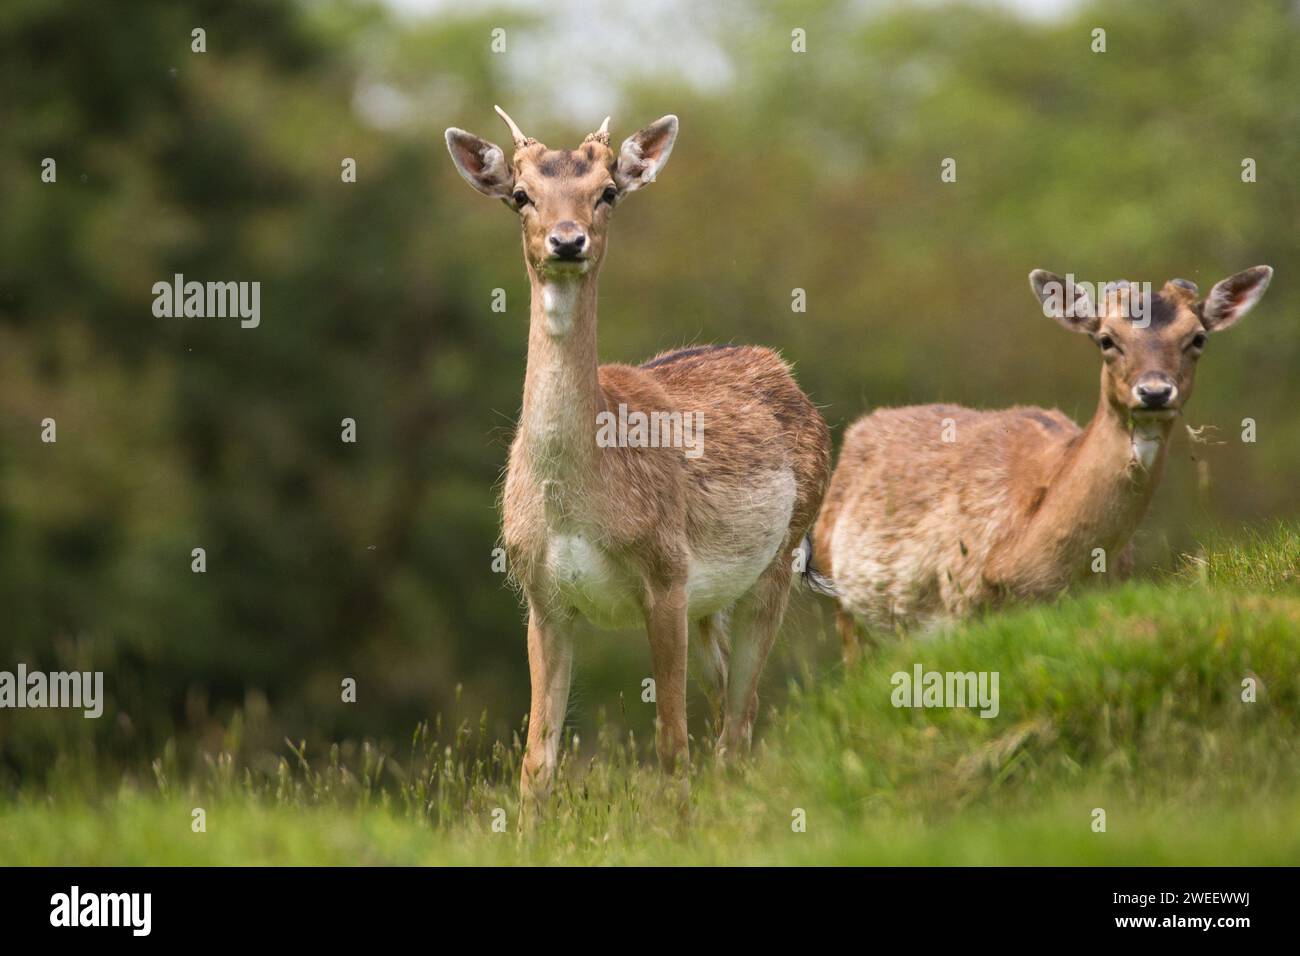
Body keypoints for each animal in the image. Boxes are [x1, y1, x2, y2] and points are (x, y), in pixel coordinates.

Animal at [444, 108, 832, 806]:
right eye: (521, 195)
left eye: (607, 192)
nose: (567, 241)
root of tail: (791, 380)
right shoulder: (542, 595)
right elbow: (536, 764)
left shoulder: (667, 574)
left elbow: (672, 746)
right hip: (712, 604)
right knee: (732, 709)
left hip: (777, 562)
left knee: (738, 723)